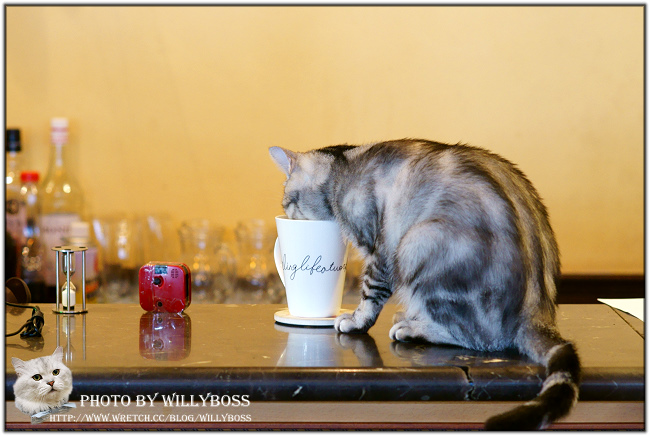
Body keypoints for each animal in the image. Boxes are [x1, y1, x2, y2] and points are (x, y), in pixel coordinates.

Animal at [269, 139, 580, 430]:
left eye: (286, 203)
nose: (286, 214)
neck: (343, 166)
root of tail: (538, 313)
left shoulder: (381, 251)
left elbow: (370, 293)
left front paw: (355, 321)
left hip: (416, 243)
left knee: (480, 338)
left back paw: (414, 328)